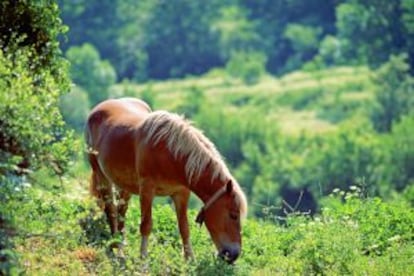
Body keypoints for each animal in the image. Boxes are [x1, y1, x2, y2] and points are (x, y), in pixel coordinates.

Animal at [84, 97, 246, 264]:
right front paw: (143, 260)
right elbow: (146, 225)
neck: (172, 153)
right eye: (233, 215)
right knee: (111, 210)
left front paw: (190, 260)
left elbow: (184, 228)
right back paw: (115, 247)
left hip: (125, 185)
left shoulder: (181, 193)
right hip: (101, 176)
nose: (234, 255)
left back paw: (121, 248)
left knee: (122, 211)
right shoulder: (147, 190)